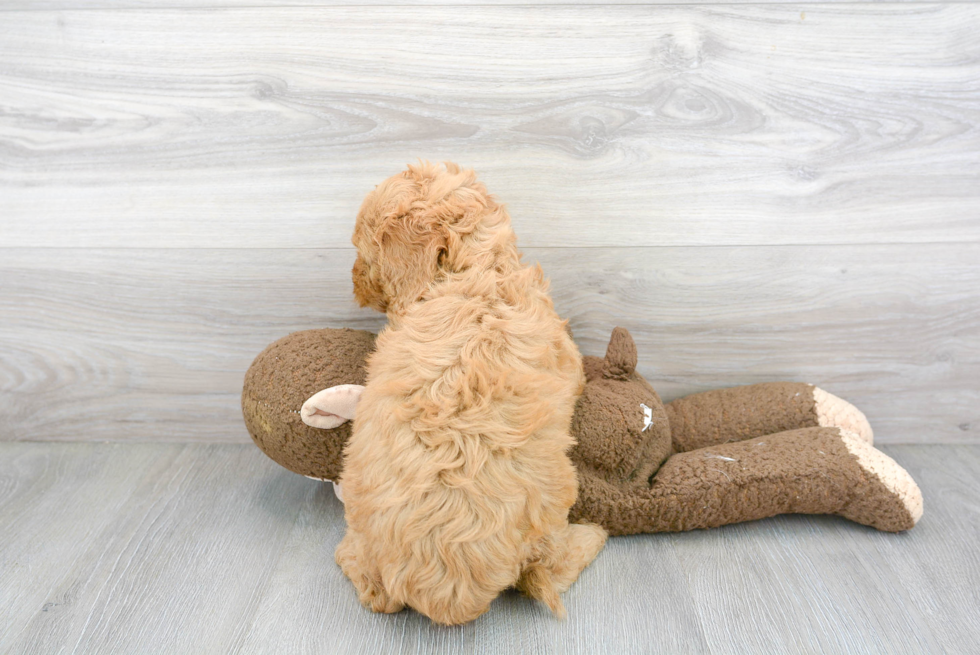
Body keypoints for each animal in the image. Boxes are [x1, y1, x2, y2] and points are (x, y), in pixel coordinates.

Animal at [338, 160, 612, 624]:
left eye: (363, 250)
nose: (354, 284)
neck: (477, 270)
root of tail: (445, 594)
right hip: (554, 503)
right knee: (550, 571)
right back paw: (593, 533)